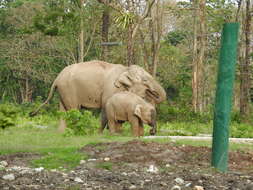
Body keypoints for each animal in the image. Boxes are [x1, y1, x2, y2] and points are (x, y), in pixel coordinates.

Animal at [31, 60, 166, 132]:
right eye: (145, 80)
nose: (152, 131)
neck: (125, 69)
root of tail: (56, 78)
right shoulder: (111, 88)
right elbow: (106, 106)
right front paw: (103, 133)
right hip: (69, 90)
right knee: (73, 110)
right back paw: (77, 131)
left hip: (63, 91)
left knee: (63, 111)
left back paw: (61, 133)